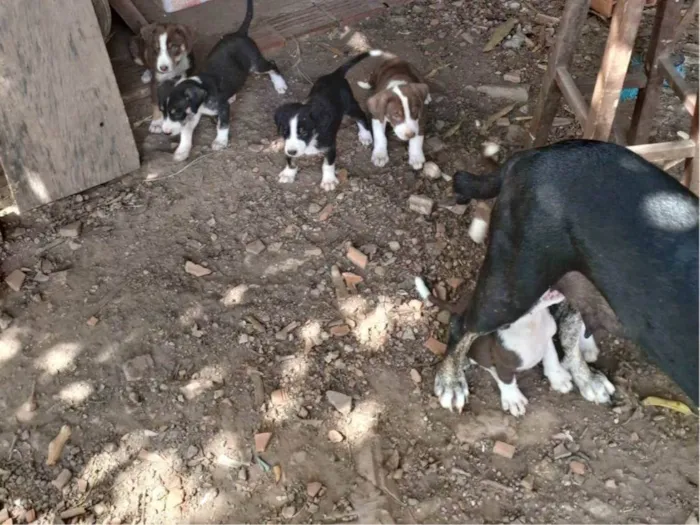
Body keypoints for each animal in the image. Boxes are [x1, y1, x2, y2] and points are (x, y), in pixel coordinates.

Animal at [161, 0, 288, 162]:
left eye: (176, 112)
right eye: (163, 112)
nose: (166, 132)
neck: (201, 88)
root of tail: (239, 33)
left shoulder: (222, 108)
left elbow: (223, 125)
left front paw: (220, 141)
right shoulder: (192, 115)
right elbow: (186, 132)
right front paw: (182, 150)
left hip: (255, 64)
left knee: (272, 64)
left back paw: (280, 84)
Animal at [274, 49, 382, 190]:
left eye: (303, 132)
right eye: (284, 131)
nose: (292, 151)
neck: (312, 138)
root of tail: (334, 75)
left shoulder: (330, 146)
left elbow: (328, 164)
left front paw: (329, 180)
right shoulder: (287, 144)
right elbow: (290, 160)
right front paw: (288, 173)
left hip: (350, 105)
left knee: (361, 116)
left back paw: (365, 135)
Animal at [434, 140, 696, 414]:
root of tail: (534, 154)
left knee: (569, 325)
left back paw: (585, 376)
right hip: (511, 290)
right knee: (462, 323)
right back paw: (451, 380)